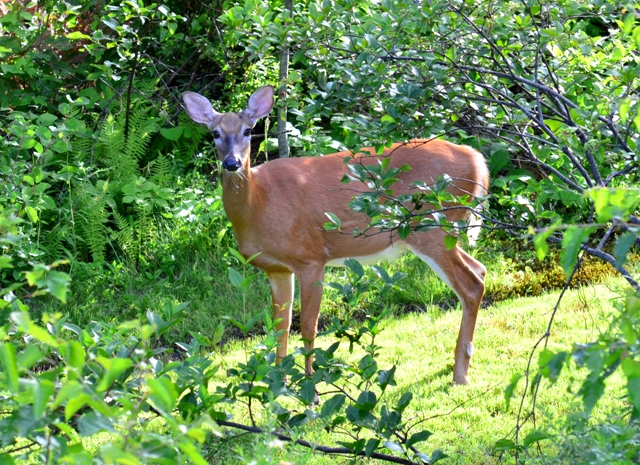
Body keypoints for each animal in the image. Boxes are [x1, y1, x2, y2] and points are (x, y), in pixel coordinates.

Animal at [182, 85, 489, 385]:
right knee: (480, 269)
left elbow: (308, 326)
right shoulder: (277, 268)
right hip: (441, 231)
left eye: (248, 131)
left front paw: (311, 388)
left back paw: (460, 375)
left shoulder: (310, 257)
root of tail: (476, 159)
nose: (232, 163)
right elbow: (280, 325)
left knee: (471, 285)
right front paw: (278, 383)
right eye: (215, 133)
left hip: (430, 227)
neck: (259, 203)